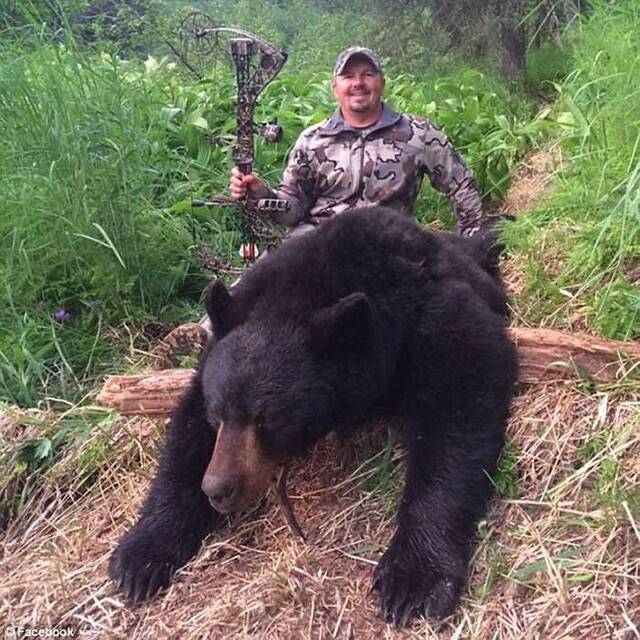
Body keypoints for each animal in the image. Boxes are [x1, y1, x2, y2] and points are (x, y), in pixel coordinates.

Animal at [110, 209, 516, 624]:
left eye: (266, 419)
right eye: (217, 414)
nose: (218, 489)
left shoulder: (430, 317)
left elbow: (459, 403)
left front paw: (412, 578)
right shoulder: (217, 350)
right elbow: (186, 435)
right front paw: (140, 556)